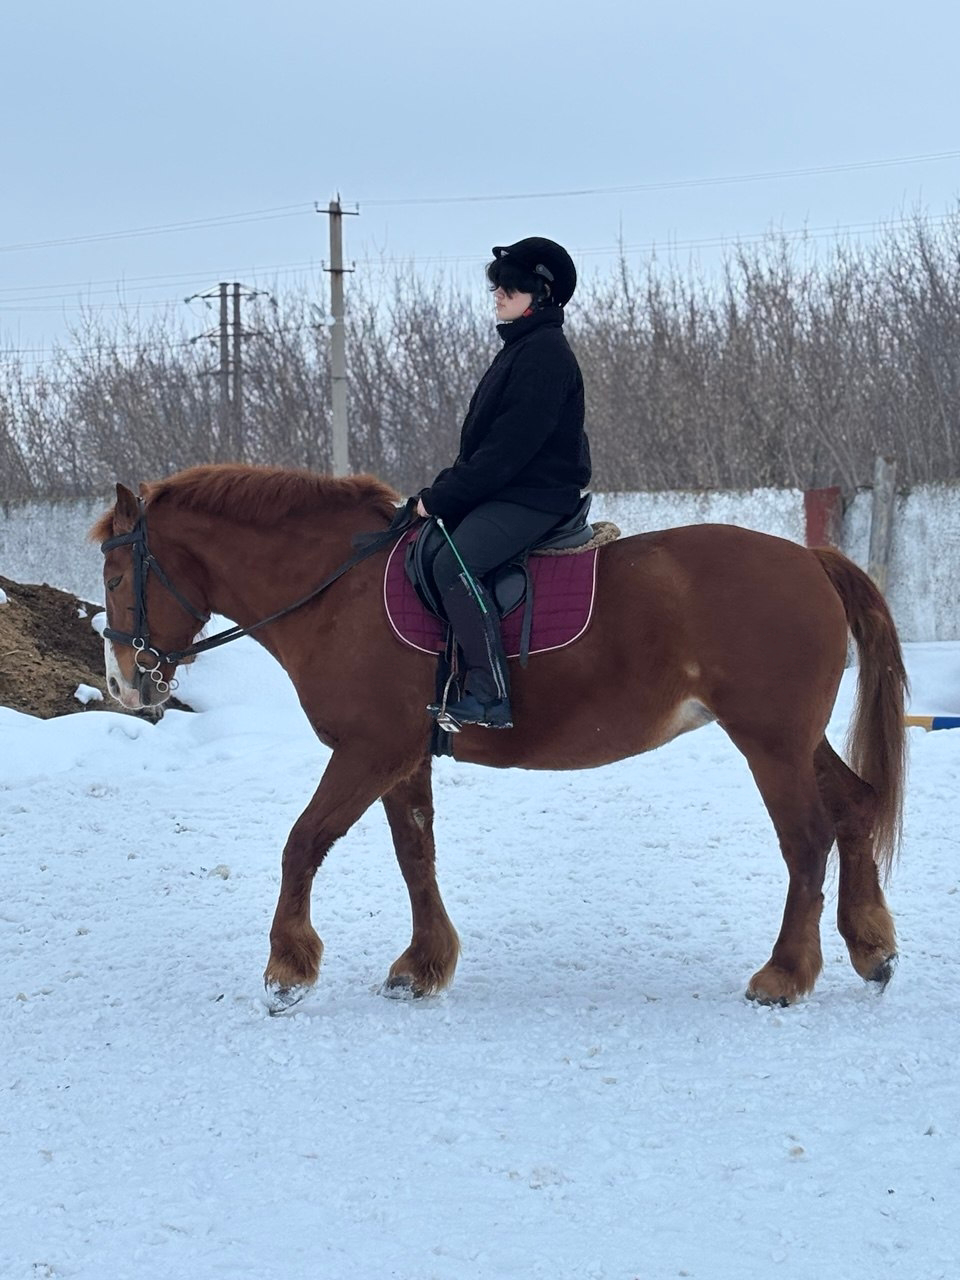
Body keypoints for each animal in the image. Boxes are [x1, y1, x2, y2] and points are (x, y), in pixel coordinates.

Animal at [92, 464, 907, 1013]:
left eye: (115, 574)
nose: (127, 684)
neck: (336, 592)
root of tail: (810, 559)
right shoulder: (401, 759)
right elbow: (415, 853)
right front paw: (422, 967)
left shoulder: (369, 751)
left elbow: (304, 841)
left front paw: (287, 972)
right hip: (794, 739)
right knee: (854, 807)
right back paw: (872, 949)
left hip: (769, 741)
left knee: (807, 838)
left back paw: (785, 975)